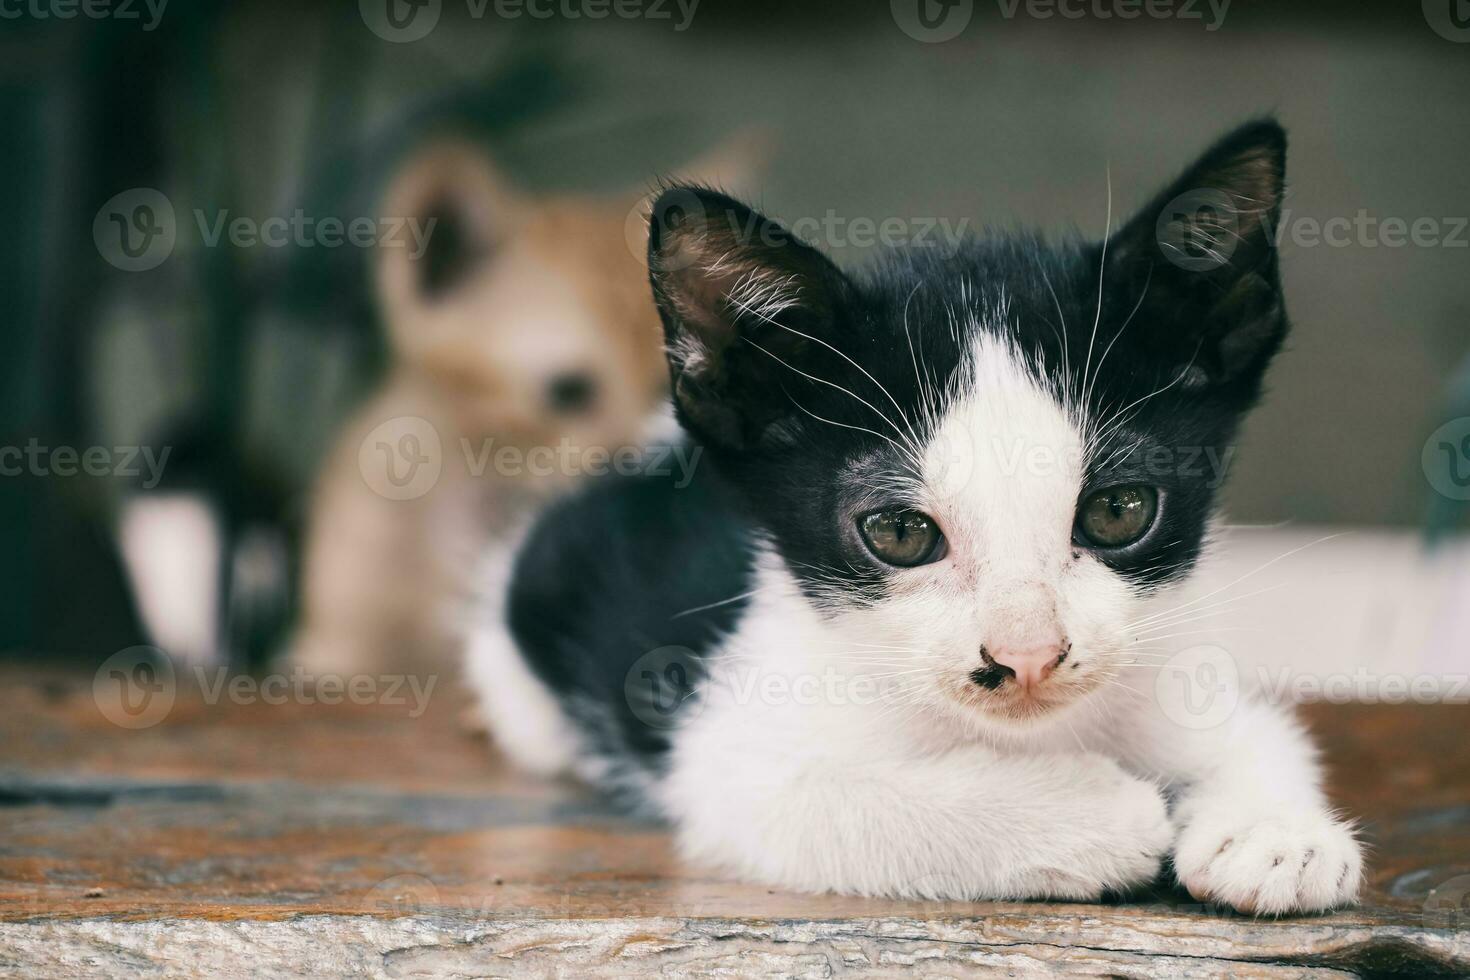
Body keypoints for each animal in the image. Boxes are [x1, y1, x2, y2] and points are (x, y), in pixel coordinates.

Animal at [464, 122, 1358, 922]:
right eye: (899, 533)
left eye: (1117, 510)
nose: (1027, 655)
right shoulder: (726, 751)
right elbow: (833, 799)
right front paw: (1091, 813)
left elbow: (1258, 729)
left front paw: (1277, 833)